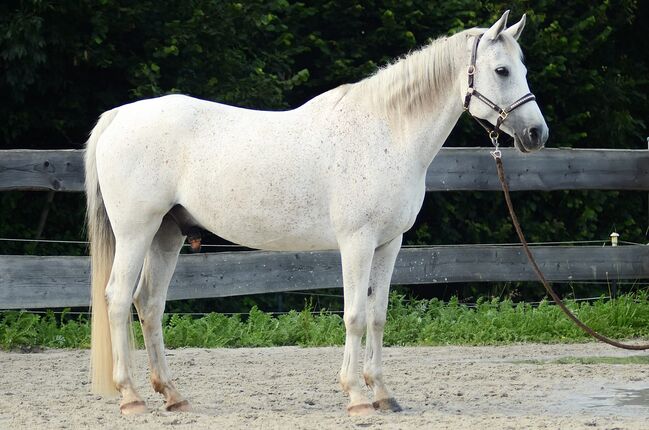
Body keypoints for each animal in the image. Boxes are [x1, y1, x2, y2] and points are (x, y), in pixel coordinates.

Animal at [82, 11, 548, 414]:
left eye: (523, 69)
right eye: (502, 70)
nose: (536, 134)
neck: (386, 132)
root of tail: (118, 117)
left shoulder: (389, 244)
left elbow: (378, 316)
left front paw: (383, 395)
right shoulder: (357, 242)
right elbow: (355, 316)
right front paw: (357, 397)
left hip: (168, 234)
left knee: (149, 303)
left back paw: (172, 394)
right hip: (136, 232)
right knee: (118, 299)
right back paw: (131, 397)